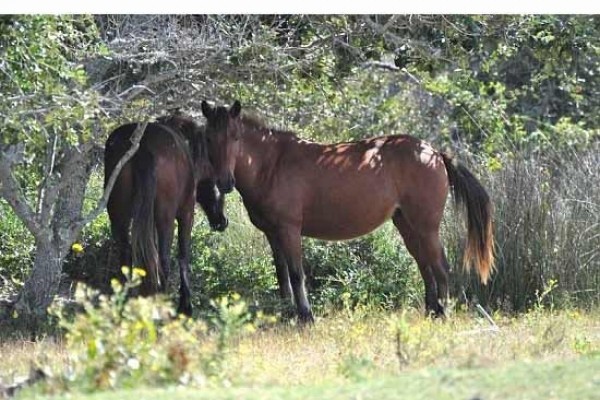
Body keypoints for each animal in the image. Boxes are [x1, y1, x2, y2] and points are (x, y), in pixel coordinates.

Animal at [103, 115, 227, 316]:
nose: (222, 221)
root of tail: (142, 145)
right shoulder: (186, 215)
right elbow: (183, 256)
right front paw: (185, 306)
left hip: (118, 217)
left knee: (126, 258)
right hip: (166, 219)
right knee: (163, 261)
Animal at [200, 100, 492, 322]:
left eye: (235, 137)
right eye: (209, 138)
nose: (224, 182)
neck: (271, 164)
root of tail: (434, 153)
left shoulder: (289, 229)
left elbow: (296, 273)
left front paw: (306, 316)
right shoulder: (272, 234)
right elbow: (282, 275)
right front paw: (286, 314)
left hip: (426, 227)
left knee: (440, 266)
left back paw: (443, 314)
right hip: (407, 225)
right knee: (425, 265)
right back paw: (431, 311)